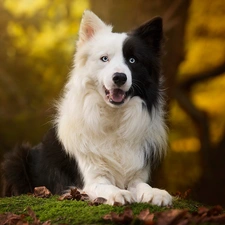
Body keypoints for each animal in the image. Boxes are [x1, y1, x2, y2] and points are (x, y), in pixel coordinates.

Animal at [1, 11, 172, 207]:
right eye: (104, 58)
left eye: (132, 60)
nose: (119, 77)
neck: (113, 118)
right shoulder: (90, 179)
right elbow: (105, 186)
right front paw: (118, 193)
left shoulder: (136, 173)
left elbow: (142, 185)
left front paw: (156, 193)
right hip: (15, 160)